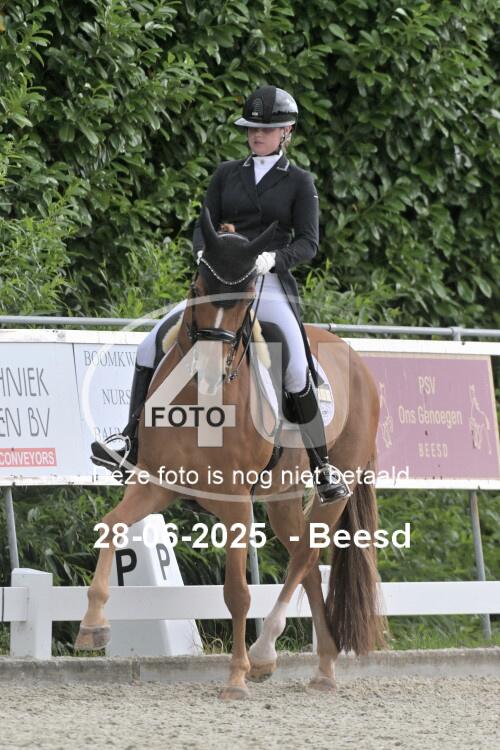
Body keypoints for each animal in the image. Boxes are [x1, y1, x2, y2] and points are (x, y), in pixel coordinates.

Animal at [75, 209, 387, 699]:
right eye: (199, 287)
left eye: (243, 301)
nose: (207, 368)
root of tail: (357, 361)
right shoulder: (156, 484)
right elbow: (110, 527)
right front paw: (92, 626)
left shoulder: (238, 502)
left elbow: (237, 592)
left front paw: (236, 677)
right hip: (281, 499)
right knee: (307, 562)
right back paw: (322, 667)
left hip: (336, 485)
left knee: (306, 555)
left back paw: (263, 653)